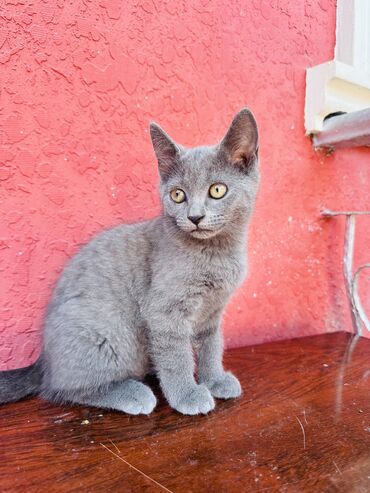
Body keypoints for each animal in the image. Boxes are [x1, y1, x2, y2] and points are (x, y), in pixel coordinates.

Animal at [0, 108, 258, 416]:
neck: (216, 252)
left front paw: (215, 380)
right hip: (106, 333)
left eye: (217, 190)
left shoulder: (212, 312)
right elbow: (177, 358)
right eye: (178, 195)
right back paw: (133, 393)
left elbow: (211, 347)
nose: (195, 217)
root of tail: (43, 361)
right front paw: (187, 395)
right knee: (62, 389)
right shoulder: (164, 313)